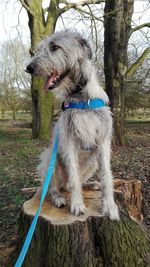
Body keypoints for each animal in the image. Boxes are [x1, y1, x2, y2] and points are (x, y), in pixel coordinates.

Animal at [26, 30, 119, 221]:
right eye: (41, 48)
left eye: (55, 47)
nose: (29, 68)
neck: (82, 97)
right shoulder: (68, 140)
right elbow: (74, 177)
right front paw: (77, 204)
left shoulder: (103, 141)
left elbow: (107, 175)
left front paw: (110, 206)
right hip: (50, 158)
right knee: (53, 187)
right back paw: (58, 198)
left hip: (92, 162)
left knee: (72, 183)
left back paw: (91, 185)